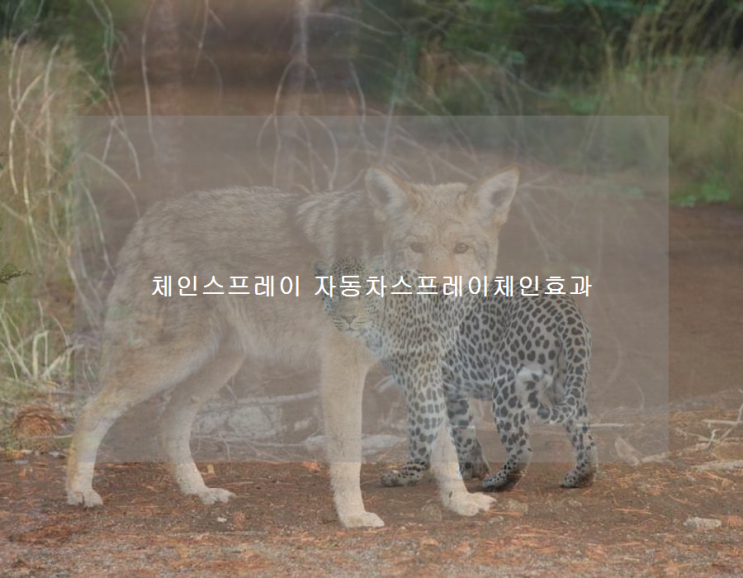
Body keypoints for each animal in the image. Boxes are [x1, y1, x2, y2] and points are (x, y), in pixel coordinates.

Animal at [66, 166, 519, 528]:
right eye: (416, 247)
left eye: (461, 248)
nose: (437, 290)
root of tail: (146, 221)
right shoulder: (342, 368)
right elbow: (349, 451)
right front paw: (353, 516)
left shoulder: (422, 368)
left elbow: (446, 448)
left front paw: (460, 503)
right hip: (174, 359)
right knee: (91, 411)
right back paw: (79, 492)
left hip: (218, 364)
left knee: (169, 423)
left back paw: (200, 492)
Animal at [314, 257, 598, 494]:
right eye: (336, 293)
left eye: (363, 292)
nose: (348, 317)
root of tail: (564, 307)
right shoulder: (452, 389)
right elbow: (464, 430)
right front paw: (470, 468)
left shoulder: (422, 387)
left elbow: (420, 433)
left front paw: (406, 475)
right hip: (566, 381)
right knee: (584, 435)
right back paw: (581, 477)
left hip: (507, 384)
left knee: (521, 447)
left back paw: (499, 482)